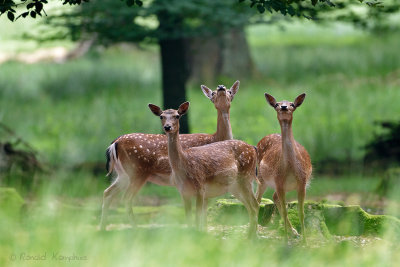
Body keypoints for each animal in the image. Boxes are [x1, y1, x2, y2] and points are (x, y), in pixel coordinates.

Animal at [101, 81, 241, 230]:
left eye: (230, 91)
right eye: (213, 93)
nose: (221, 87)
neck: (216, 138)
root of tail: (115, 143)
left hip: (123, 174)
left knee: (107, 193)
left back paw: (103, 228)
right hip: (137, 171)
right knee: (126, 199)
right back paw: (135, 228)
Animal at [148, 101, 260, 238]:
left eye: (177, 116)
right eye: (161, 116)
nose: (167, 127)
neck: (184, 165)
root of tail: (253, 148)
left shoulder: (200, 187)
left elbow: (197, 218)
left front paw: (198, 237)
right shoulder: (183, 192)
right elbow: (188, 219)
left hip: (246, 177)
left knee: (254, 205)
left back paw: (251, 237)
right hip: (235, 186)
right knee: (250, 206)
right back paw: (250, 236)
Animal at [256, 93, 312, 243]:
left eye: (292, 104)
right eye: (277, 104)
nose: (284, 107)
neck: (290, 168)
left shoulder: (302, 182)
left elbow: (301, 212)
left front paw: (305, 241)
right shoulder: (279, 180)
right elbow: (287, 210)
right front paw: (286, 240)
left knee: (273, 197)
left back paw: (294, 232)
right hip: (261, 179)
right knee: (257, 200)